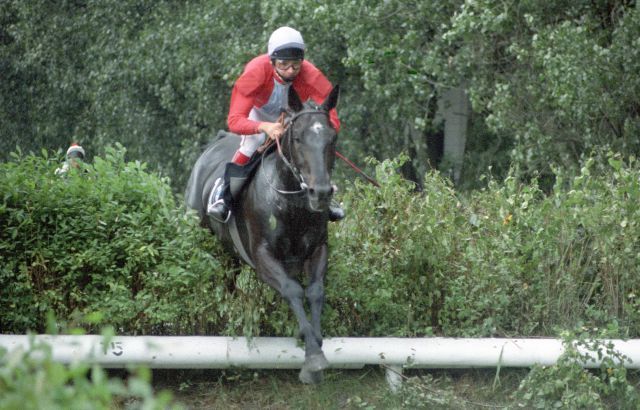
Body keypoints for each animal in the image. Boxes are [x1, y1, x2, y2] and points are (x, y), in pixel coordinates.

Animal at [184, 85, 340, 382]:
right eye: (298, 138)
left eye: (332, 139)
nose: (321, 193)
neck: (290, 204)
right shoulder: (262, 256)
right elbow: (292, 290)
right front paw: (313, 355)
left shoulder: (318, 249)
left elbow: (315, 291)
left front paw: (316, 341)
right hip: (207, 242)